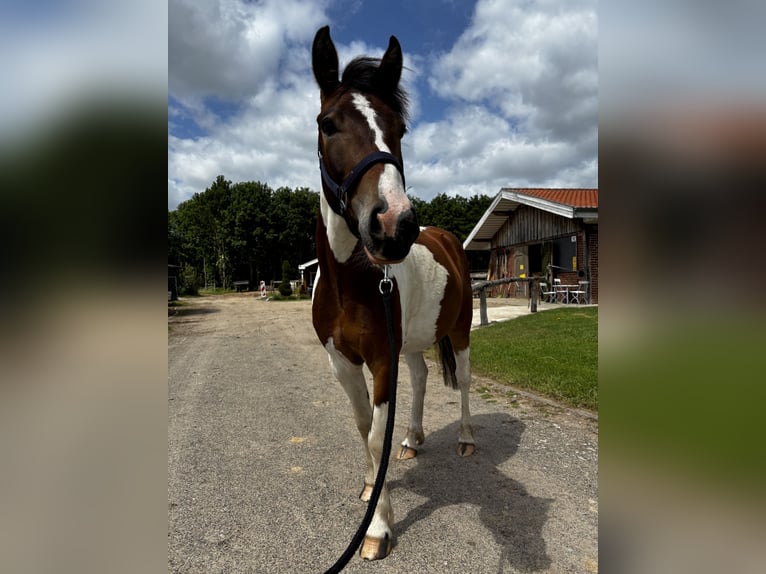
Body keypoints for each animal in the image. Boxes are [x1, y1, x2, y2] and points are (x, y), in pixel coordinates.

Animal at [311, 26, 475, 561]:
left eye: (400, 130)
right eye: (327, 124)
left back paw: (465, 438)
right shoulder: (342, 362)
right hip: (413, 342)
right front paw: (369, 487)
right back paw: (414, 438)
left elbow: (376, 429)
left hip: (460, 332)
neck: (350, 282)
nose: (394, 226)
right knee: (422, 377)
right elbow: (364, 425)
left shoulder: (381, 358)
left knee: (464, 381)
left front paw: (378, 529)